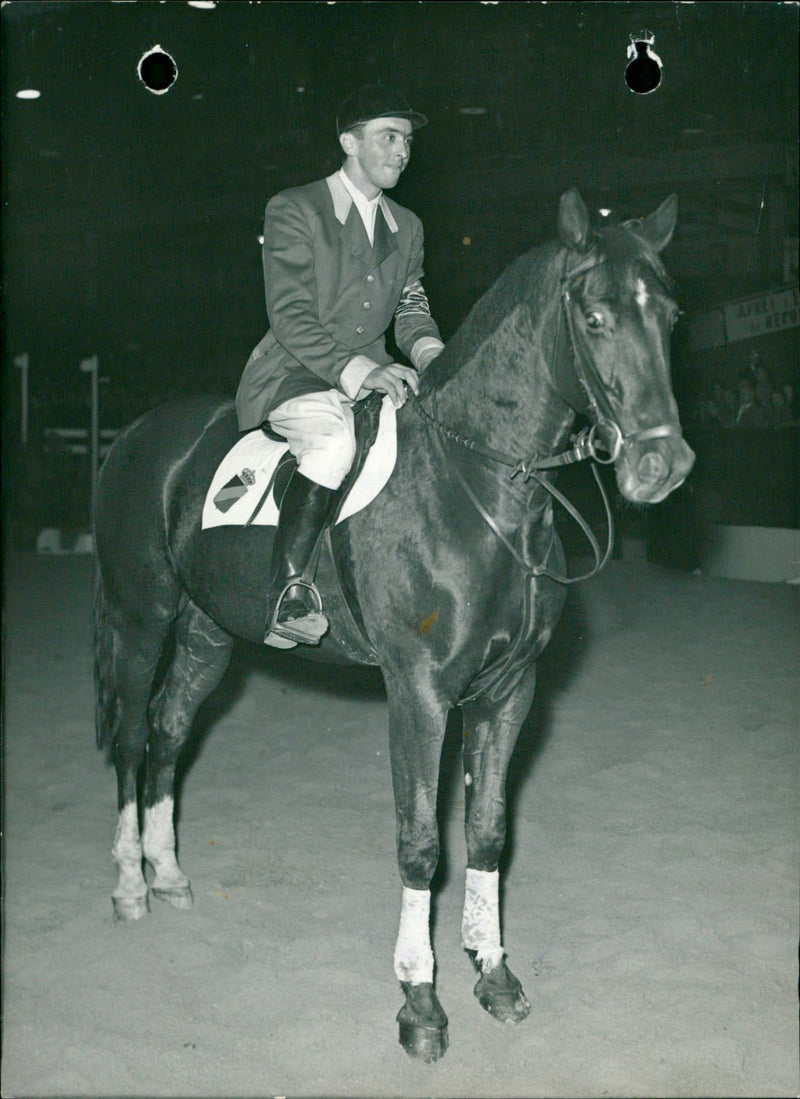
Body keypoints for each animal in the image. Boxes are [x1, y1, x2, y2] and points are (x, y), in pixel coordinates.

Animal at [92, 191, 694, 1063]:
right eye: (594, 315)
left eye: (672, 317)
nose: (662, 466)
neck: (481, 482)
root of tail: (137, 435)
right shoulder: (420, 693)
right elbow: (421, 843)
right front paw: (420, 1000)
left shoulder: (509, 690)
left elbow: (487, 833)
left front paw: (495, 976)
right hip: (142, 618)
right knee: (137, 739)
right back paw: (131, 883)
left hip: (207, 632)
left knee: (171, 731)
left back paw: (169, 874)